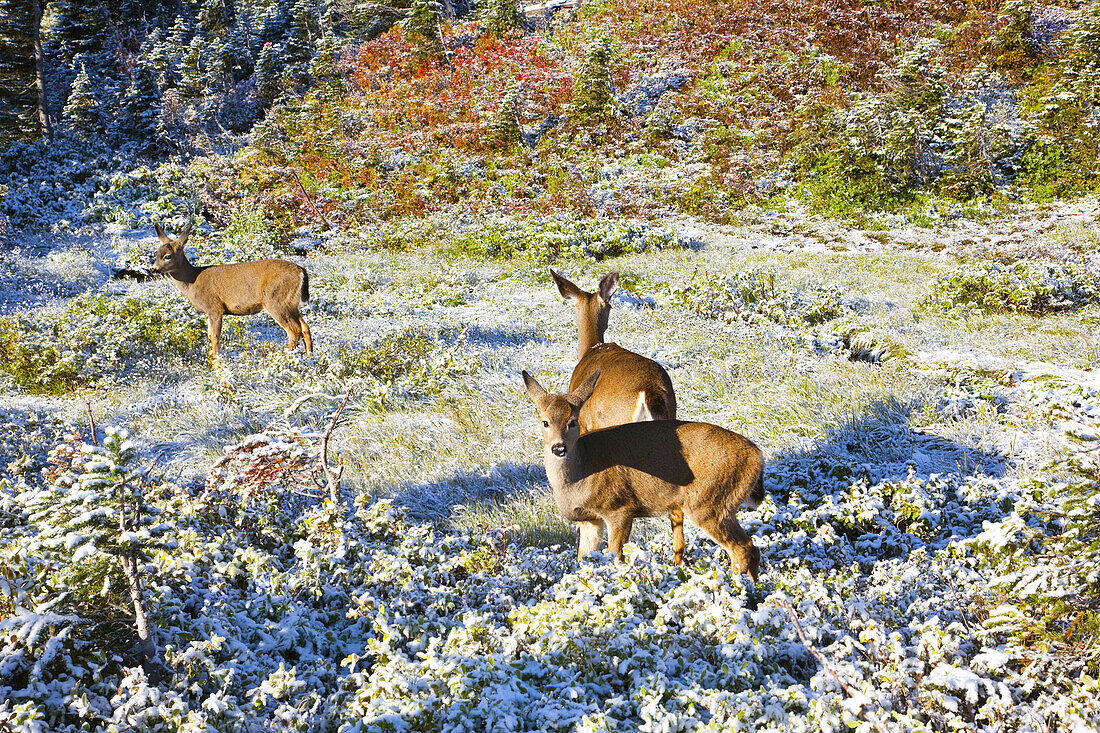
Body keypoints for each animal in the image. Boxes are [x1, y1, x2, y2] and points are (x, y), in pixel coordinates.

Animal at [150, 221, 314, 360]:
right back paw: (310, 358)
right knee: (305, 327)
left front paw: (216, 366)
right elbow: (208, 337)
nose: (153, 269)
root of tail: (301, 271)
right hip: (291, 304)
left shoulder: (215, 308)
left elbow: (215, 338)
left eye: (168, 256)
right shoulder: (209, 312)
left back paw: (285, 358)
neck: (193, 281)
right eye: (156, 254)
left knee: (294, 331)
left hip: (275, 301)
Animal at [523, 367, 765, 581]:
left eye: (572, 421)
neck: (582, 474)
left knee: (741, 548)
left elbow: (616, 557)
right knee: (752, 549)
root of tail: (757, 457)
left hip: (709, 502)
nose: (558, 448)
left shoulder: (619, 509)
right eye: (545, 422)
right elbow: (583, 560)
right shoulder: (590, 520)